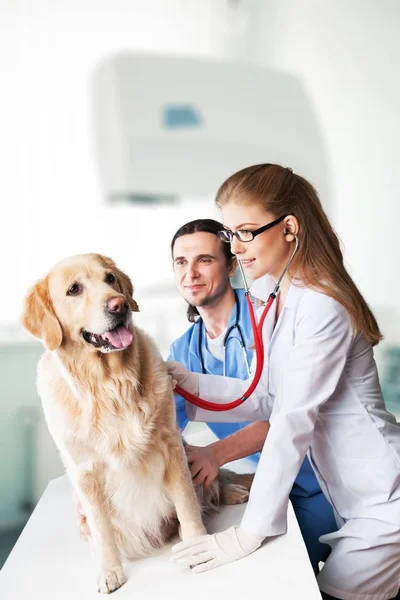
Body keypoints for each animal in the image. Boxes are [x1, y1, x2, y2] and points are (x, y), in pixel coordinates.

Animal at [21, 254, 253, 596]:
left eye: (110, 279)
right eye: (74, 289)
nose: (119, 305)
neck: (110, 384)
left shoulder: (171, 444)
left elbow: (187, 503)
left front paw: (198, 544)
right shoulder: (85, 473)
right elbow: (101, 529)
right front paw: (109, 571)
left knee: (210, 486)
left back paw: (233, 492)